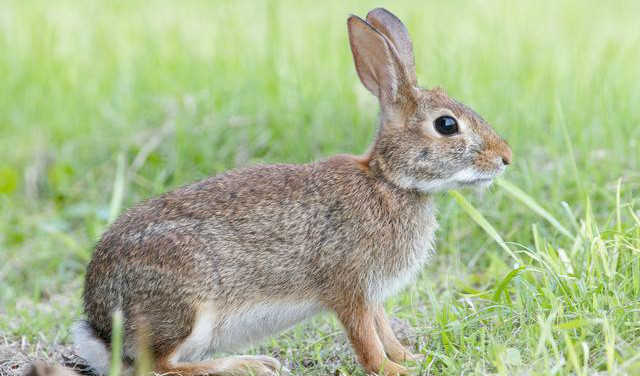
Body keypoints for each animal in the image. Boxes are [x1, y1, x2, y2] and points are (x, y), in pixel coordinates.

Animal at [74, 6, 510, 376]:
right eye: (447, 125)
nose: (505, 158)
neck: (388, 180)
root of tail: (101, 327)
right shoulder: (349, 288)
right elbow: (365, 339)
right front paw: (394, 370)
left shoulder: (373, 295)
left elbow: (383, 328)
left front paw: (410, 358)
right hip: (185, 305)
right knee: (160, 366)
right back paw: (246, 365)